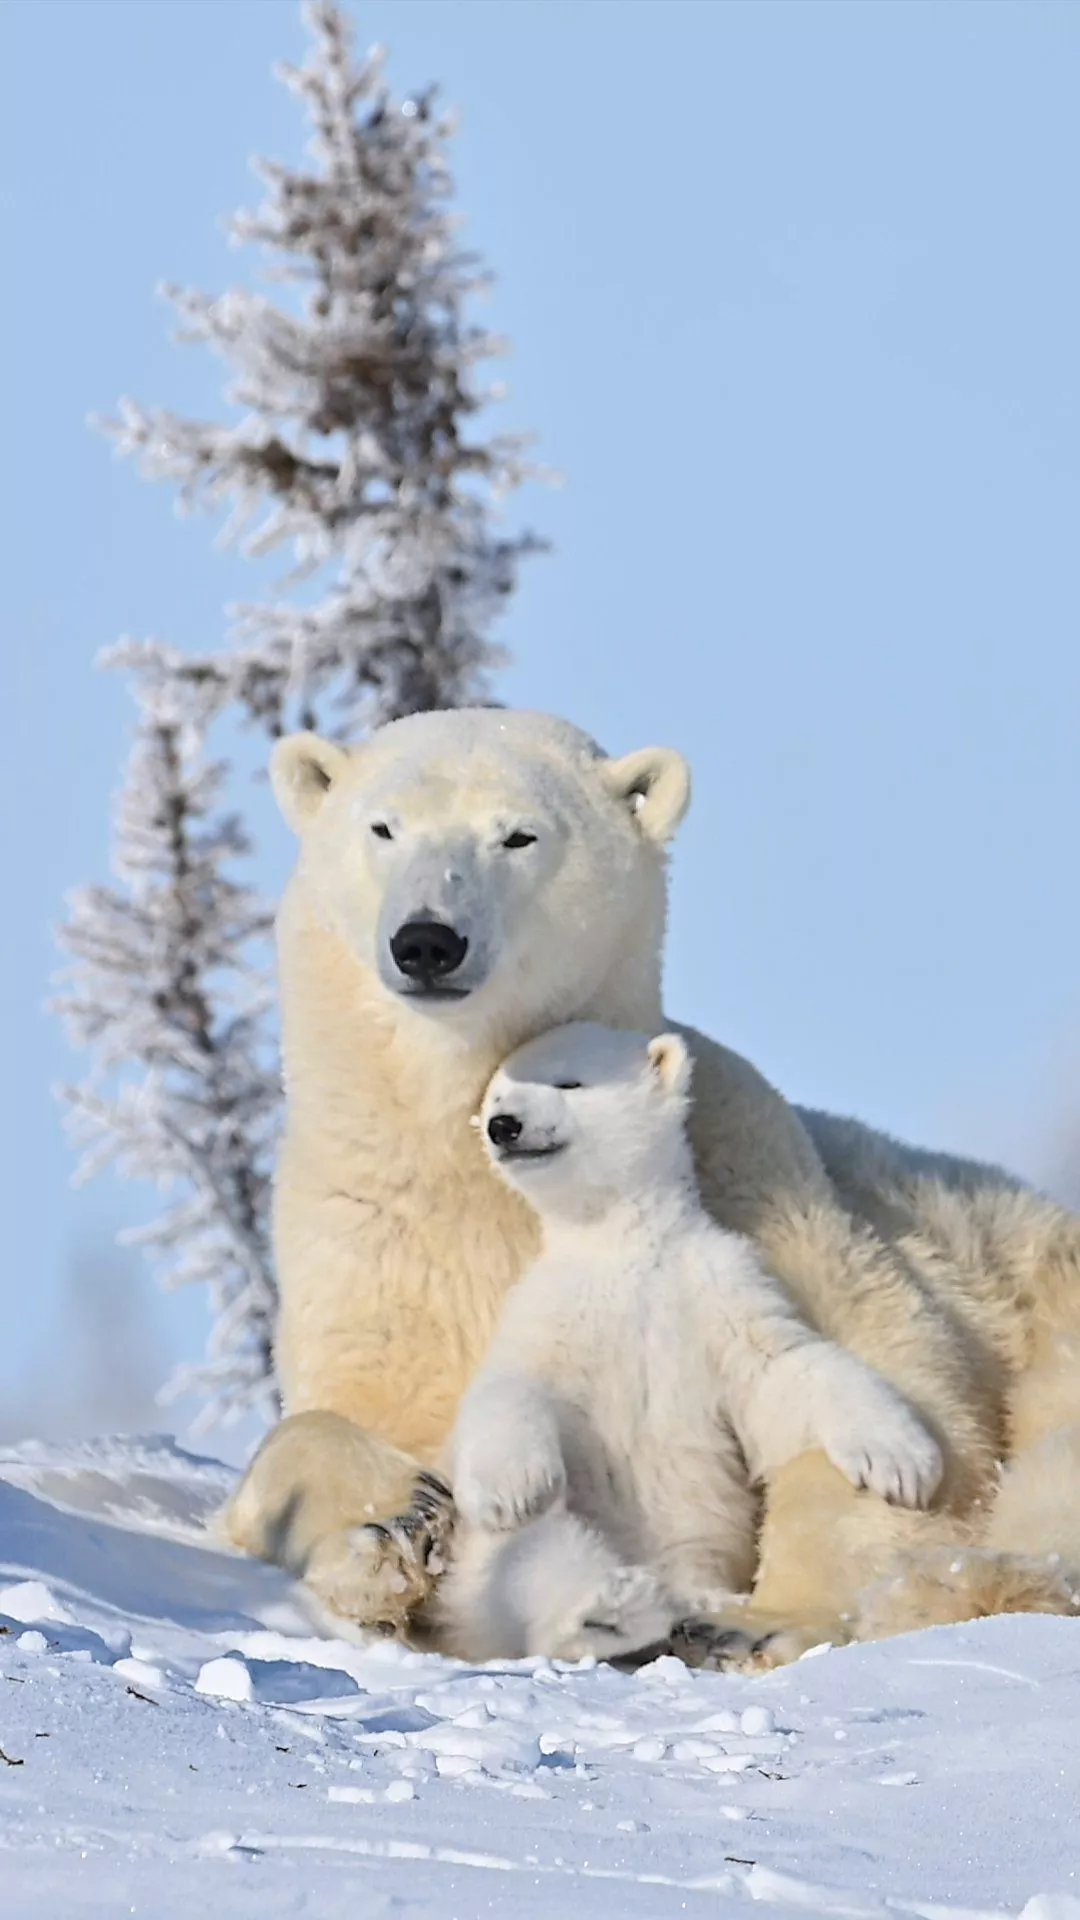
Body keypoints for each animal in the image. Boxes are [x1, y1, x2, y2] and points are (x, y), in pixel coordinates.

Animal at [436, 1022, 943, 1664]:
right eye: (496, 1097)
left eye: (567, 1081)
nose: (504, 1125)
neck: (625, 1244)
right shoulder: (552, 1307)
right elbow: (513, 1387)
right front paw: (511, 1494)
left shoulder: (717, 1287)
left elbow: (783, 1367)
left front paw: (904, 1464)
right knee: (536, 1555)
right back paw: (610, 1611)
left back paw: (706, 1609)